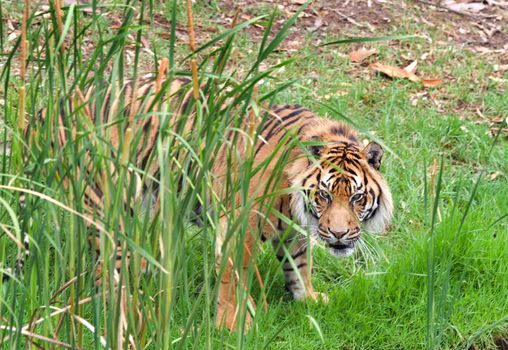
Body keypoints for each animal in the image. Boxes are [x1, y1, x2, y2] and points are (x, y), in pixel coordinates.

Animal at [10, 73, 392, 330]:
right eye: (324, 195)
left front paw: (308, 299)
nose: (339, 235)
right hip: (105, 199)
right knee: (105, 268)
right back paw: (129, 307)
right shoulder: (240, 221)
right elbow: (233, 275)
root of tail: (54, 105)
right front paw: (232, 324)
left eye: (357, 197)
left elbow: (300, 264)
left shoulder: (293, 227)